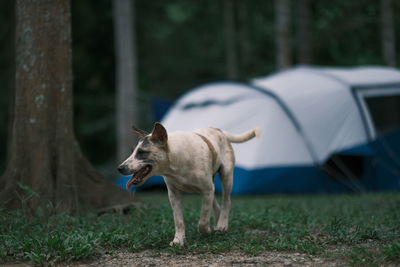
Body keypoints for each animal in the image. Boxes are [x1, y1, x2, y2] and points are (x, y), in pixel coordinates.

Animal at [117, 122, 260, 246]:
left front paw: (207, 230)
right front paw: (178, 240)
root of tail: (219, 131)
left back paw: (222, 224)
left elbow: (203, 220)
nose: (120, 168)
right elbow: (179, 220)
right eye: (132, 151)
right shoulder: (174, 195)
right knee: (217, 205)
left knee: (226, 201)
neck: (176, 161)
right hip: (212, 186)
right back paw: (217, 224)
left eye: (141, 152)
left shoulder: (207, 190)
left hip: (226, 177)